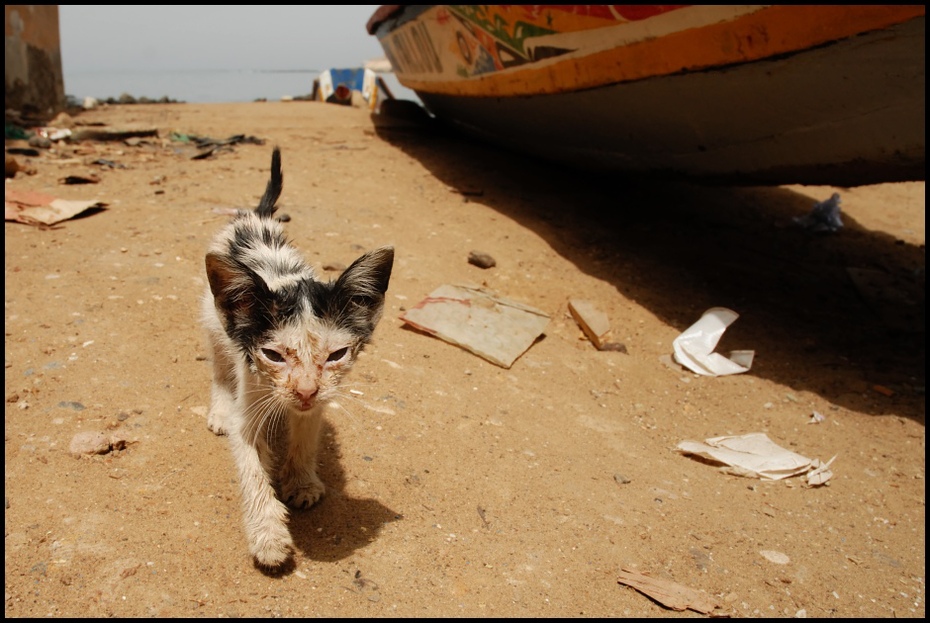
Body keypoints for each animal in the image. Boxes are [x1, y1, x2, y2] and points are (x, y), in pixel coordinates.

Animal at [201, 147, 394, 572]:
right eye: (273, 354)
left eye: (337, 354)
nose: (304, 391)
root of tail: (256, 216)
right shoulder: (251, 384)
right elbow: (251, 464)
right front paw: (268, 537)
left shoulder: (321, 397)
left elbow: (307, 433)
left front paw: (302, 481)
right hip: (212, 319)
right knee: (220, 363)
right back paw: (219, 408)